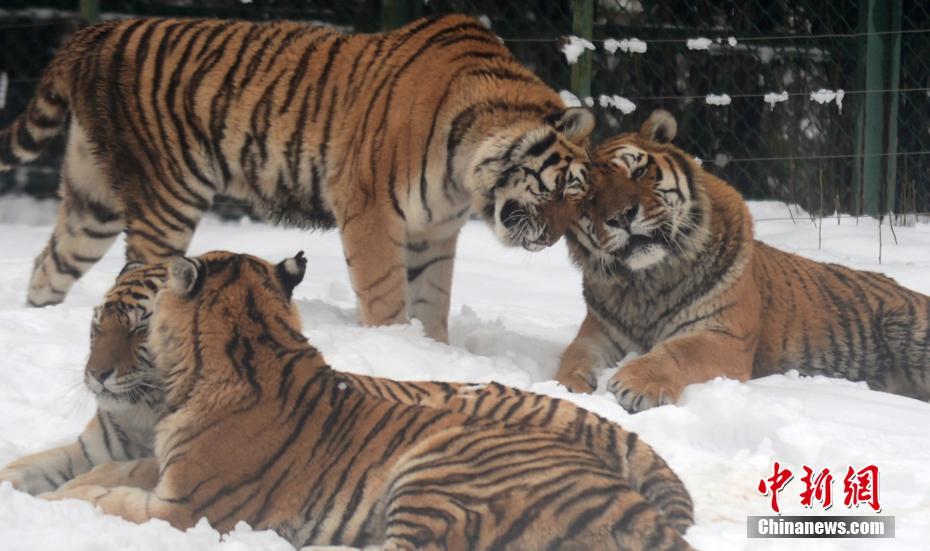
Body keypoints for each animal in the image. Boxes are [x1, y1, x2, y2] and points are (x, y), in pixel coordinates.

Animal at [0, 264, 167, 496]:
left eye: (140, 329)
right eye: (98, 326)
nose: (97, 374)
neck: (142, 414)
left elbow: (129, 471)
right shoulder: (88, 450)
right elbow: (31, 465)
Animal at [1, 15, 596, 342]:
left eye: (580, 202)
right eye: (564, 188)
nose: (548, 243)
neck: (466, 171)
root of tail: (93, 33)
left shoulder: (433, 232)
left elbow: (432, 300)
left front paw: (434, 351)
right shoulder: (371, 211)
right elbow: (385, 294)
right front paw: (394, 347)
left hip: (93, 201)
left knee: (50, 266)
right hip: (168, 194)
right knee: (137, 273)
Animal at [556, 110, 928, 412]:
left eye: (638, 171)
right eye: (590, 197)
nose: (622, 216)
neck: (647, 280)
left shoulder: (725, 335)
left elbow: (680, 350)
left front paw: (636, 383)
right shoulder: (598, 333)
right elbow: (573, 355)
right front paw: (566, 388)